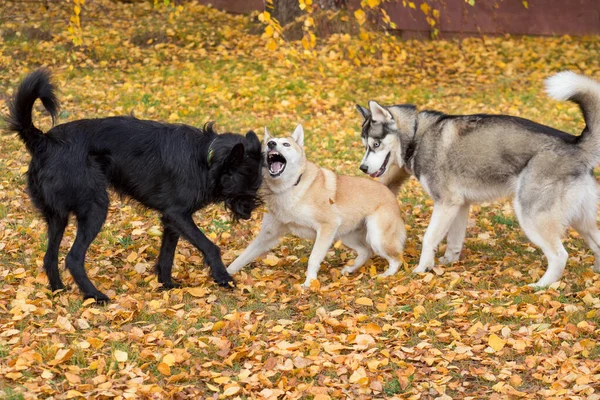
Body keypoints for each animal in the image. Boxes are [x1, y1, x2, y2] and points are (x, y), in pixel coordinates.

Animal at [7, 69, 262, 302]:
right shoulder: (179, 215)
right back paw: (94, 295)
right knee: (73, 258)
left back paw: (59, 290)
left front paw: (166, 284)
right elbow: (209, 246)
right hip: (95, 208)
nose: (250, 212)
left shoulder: (171, 220)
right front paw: (223, 276)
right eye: (246, 183)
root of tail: (44, 141)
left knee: (50, 257)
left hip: (57, 217)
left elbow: (167, 255)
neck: (205, 157)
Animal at [226, 123, 408, 286]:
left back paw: (386, 276)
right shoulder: (268, 235)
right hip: (345, 235)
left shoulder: (327, 227)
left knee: (397, 259)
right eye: (268, 143)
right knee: (366, 252)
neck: (290, 188)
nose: (271, 144)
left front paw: (310, 283)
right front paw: (225, 274)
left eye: (286, 144)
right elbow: (243, 256)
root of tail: (387, 189)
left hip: (376, 237)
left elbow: (313, 259)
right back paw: (350, 269)